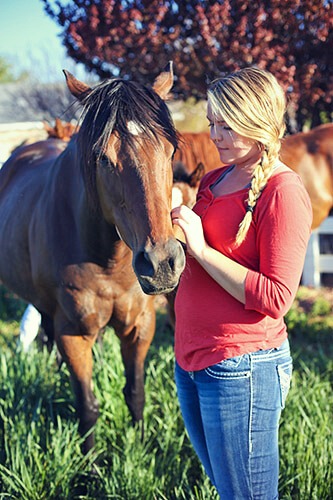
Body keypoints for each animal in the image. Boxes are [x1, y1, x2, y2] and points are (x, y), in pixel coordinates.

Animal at [0, 63, 184, 454]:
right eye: (102, 157)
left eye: (170, 150)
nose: (161, 263)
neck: (108, 263)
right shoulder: (73, 334)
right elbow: (87, 405)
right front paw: (91, 460)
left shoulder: (140, 327)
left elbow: (135, 392)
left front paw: (139, 446)